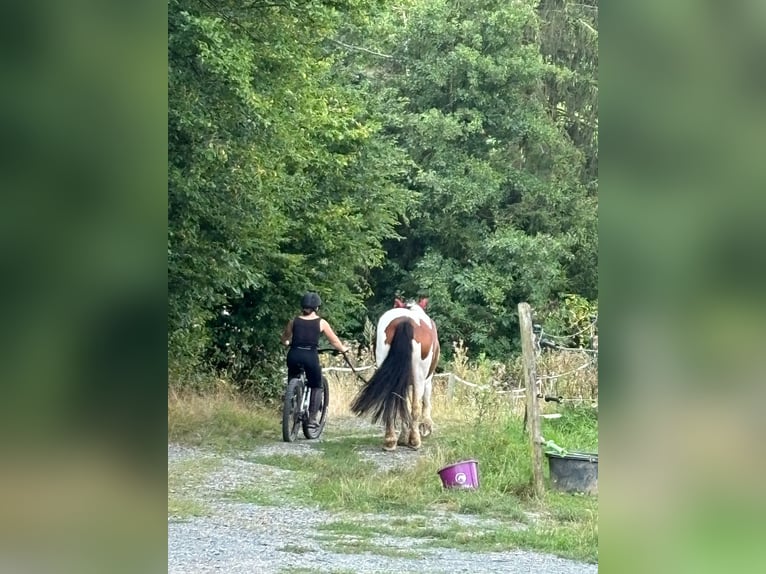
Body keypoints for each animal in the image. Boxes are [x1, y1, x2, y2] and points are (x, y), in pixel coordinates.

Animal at [352, 300, 440, 452]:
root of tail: (405, 321)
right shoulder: (427, 380)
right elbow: (424, 402)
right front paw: (425, 428)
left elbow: (403, 405)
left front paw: (403, 437)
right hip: (419, 377)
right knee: (415, 407)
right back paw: (415, 441)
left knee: (392, 403)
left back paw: (390, 440)